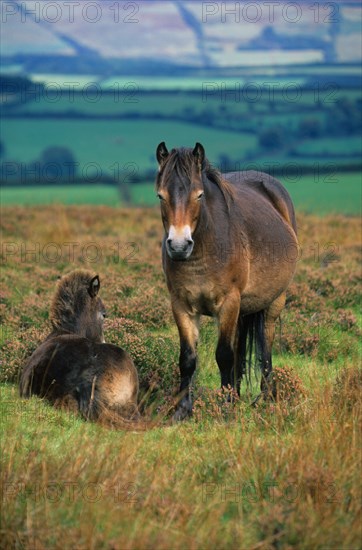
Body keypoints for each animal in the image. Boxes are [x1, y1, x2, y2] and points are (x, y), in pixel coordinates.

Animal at [155, 143, 296, 422]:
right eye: (161, 196)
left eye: (199, 196)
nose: (179, 246)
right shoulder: (181, 305)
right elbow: (187, 358)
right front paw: (182, 410)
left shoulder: (229, 302)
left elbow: (224, 355)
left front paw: (226, 408)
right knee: (240, 349)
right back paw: (239, 395)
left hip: (274, 302)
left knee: (265, 347)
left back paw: (264, 398)